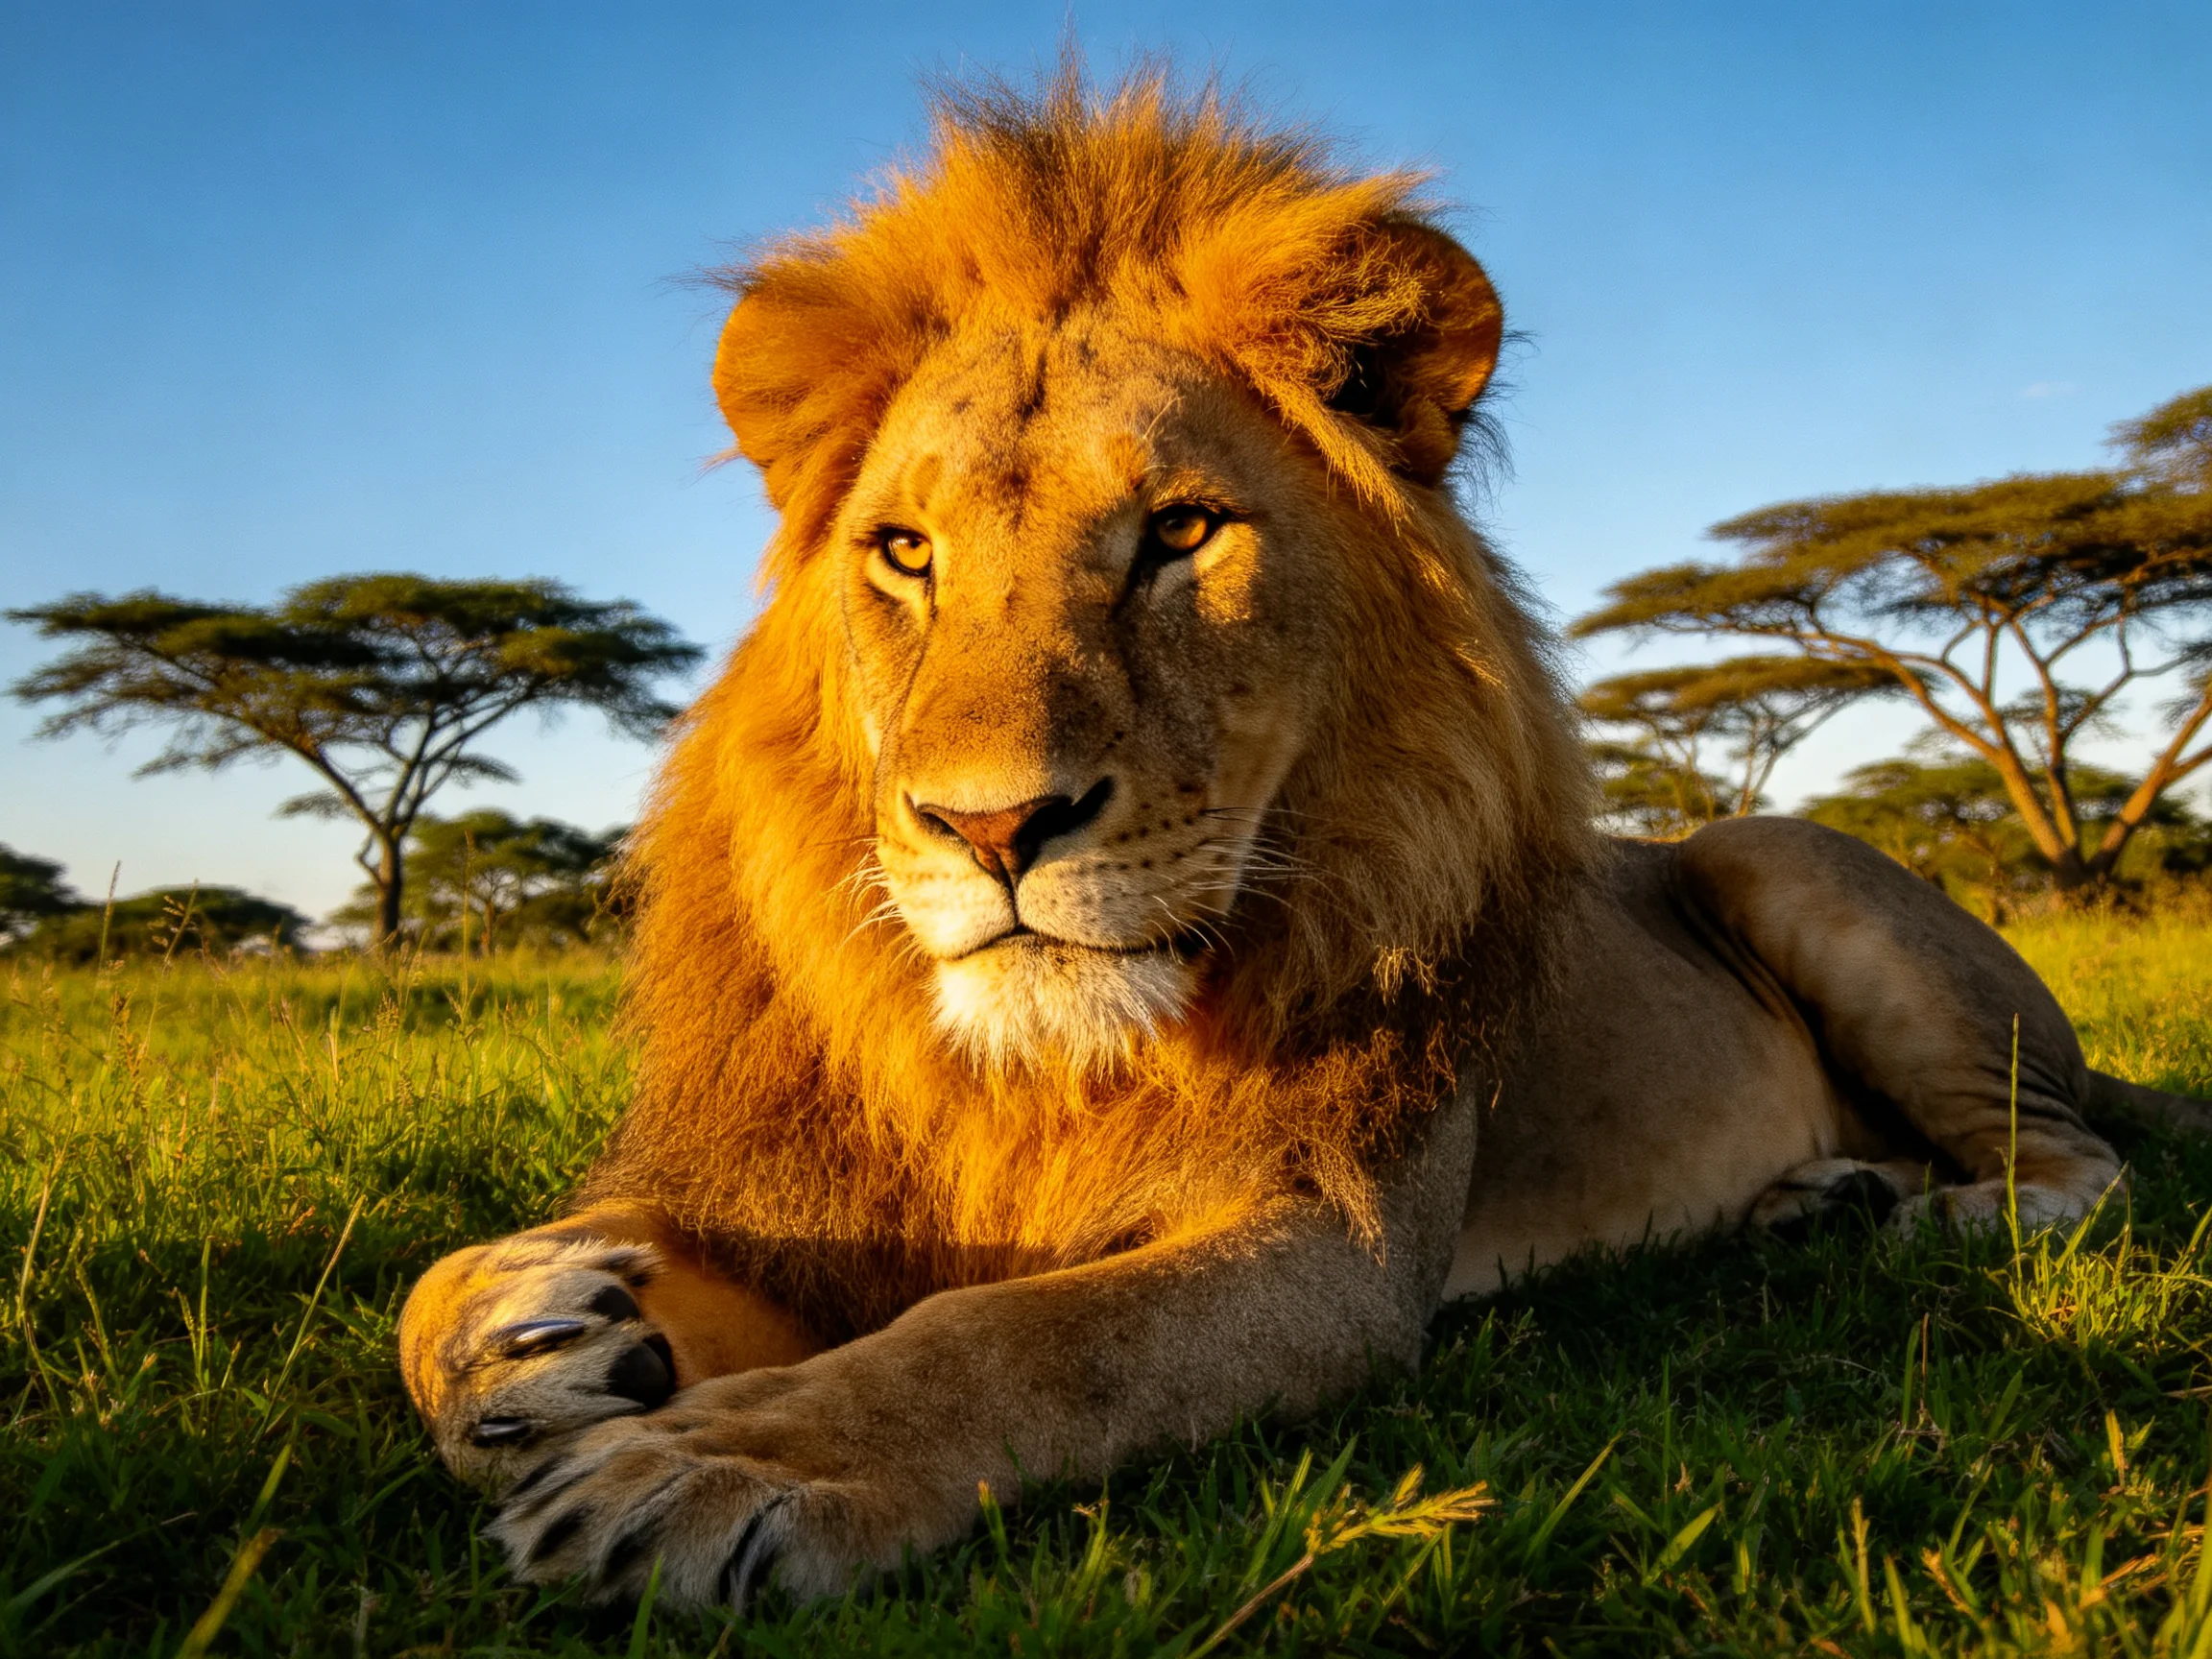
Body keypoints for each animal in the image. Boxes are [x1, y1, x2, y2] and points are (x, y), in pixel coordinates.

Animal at [397, 66, 2195, 1610]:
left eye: (1181, 531)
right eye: (902, 551)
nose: (989, 824)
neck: (1042, 1067)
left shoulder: (1335, 1238)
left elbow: (1020, 1334)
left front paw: (722, 1465)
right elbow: (436, 1284)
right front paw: (536, 1328)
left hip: (1785, 859)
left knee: (2082, 1162)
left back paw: (1918, 1215)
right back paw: (1820, 1196)